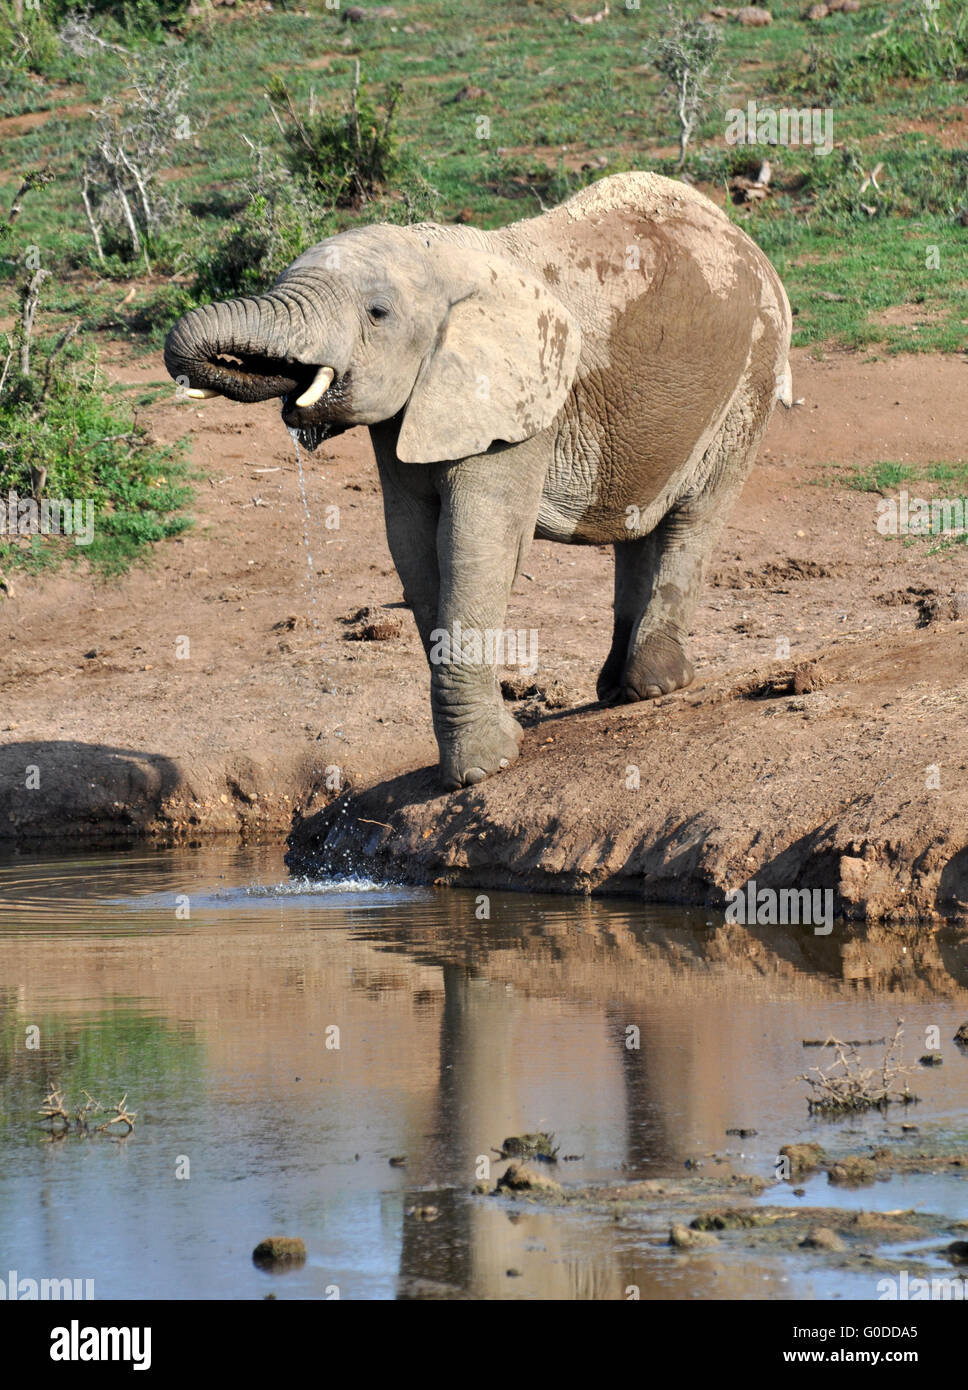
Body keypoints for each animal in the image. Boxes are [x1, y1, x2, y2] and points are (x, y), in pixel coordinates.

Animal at [162, 168, 789, 789]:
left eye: (377, 314)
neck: (441, 258)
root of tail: (743, 238)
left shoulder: (520, 402)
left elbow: (475, 539)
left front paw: (481, 770)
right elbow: (412, 544)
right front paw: (480, 757)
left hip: (753, 370)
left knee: (694, 518)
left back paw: (654, 685)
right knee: (637, 528)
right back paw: (616, 690)